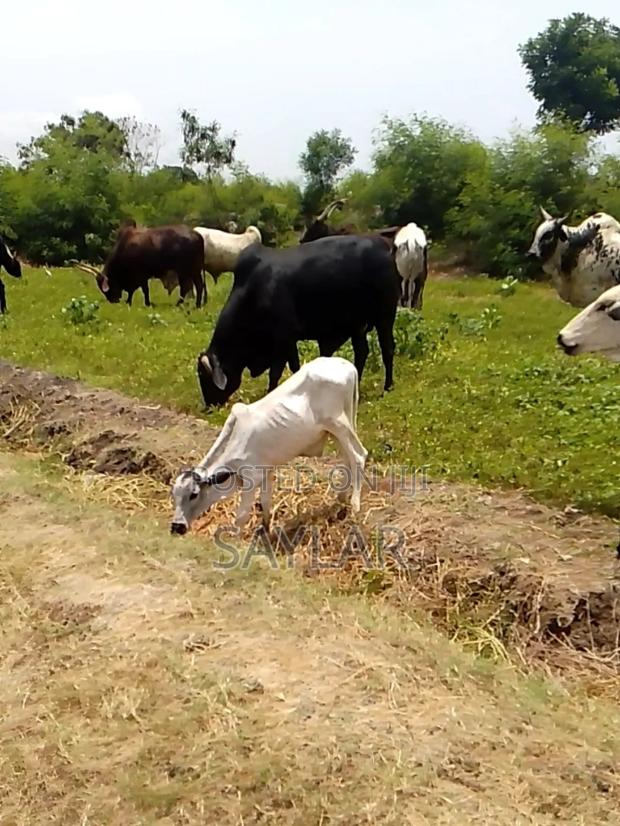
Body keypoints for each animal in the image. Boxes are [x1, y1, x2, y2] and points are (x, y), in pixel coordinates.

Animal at [74, 224, 206, 308]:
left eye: (106, 286)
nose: (113, 301)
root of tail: (197, 235)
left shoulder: (141, 275)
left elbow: (144, 290)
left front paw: (146, 303)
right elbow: (133, 291)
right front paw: (129, 301)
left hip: (189, 270)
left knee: (193, 286)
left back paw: (192, 305)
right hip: (189, 271)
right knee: (191, 286)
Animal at [171, 356, 367, 534]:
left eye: (193, 494)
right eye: (174, 495)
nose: (176, 527)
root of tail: (347, 365)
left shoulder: (251, 479)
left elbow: (241, 515)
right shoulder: (266, 472)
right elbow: (265, 502)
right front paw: (265, 530)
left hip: (338, 424)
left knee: (359, 455)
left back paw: (355, 505)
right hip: (339, 429)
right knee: (347, 457)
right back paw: (341, 497)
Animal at [196, 234, 400, 407]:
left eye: (204, 377)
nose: (209, 406)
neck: (253, 290)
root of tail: (383, 245)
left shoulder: (282, 338)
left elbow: (277, 372)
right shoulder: (289, 341)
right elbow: (294, 367)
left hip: (385, 317)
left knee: (387, 349)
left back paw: (388, 387)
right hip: (357, 325)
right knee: (362, 352)